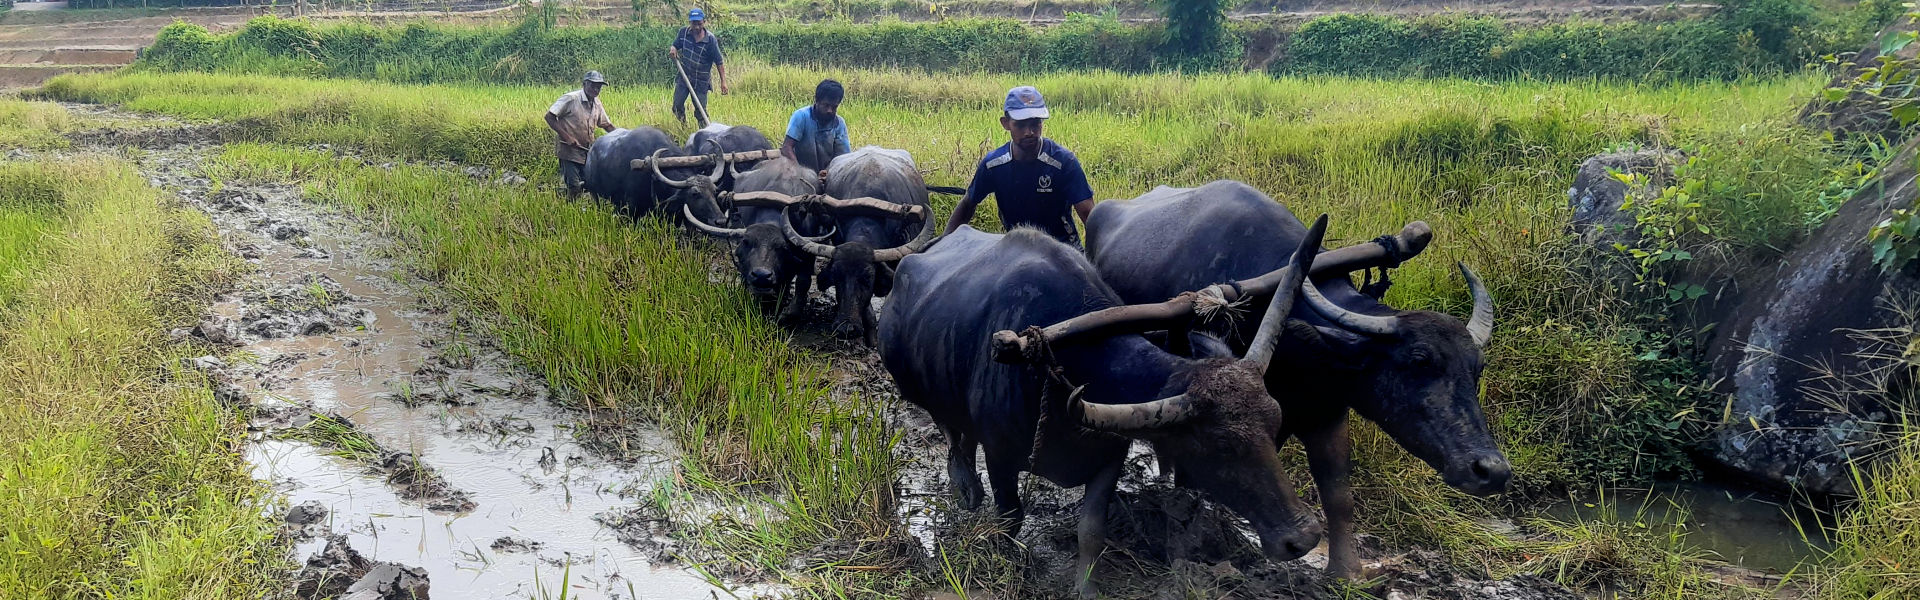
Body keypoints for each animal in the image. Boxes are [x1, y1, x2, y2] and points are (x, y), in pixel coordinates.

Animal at [691, 156, 840, 321]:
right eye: (747, 242)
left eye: (783, 248)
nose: (761, 275)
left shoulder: (806, 250)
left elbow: (803, 281)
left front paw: (790, 312)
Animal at [883, 218, 1336, 596]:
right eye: (1221, 448)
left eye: (1275, 425)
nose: (1303, 536)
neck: (1059, 370)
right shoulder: (1001, 458)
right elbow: (1010, 518)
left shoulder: (1109, 456)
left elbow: (1091, 531)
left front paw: (1086, 588)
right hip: (918, 388)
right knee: (951, 433)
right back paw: (965, 486)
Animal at [1090, 180, 1505, 580]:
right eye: (1419, 361)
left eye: (1477, 368)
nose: (1491, 470)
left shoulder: (1324, 410)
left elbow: (1338, 494)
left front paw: (1347, 572)